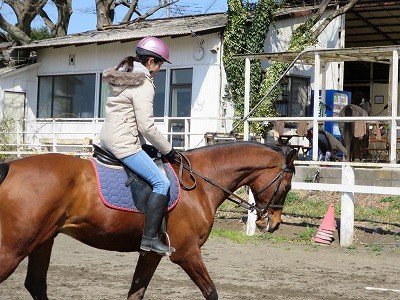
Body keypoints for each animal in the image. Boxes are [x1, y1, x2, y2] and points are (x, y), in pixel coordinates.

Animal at [0, 142, 294, 298]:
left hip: (43, 240)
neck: (200, 183)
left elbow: (136, 292)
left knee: (36, 284)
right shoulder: (187, 252)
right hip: (14, 248)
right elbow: (211, 292)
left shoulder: (151, 254)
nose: (273, 224)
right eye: (288, 185)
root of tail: (10, 167)